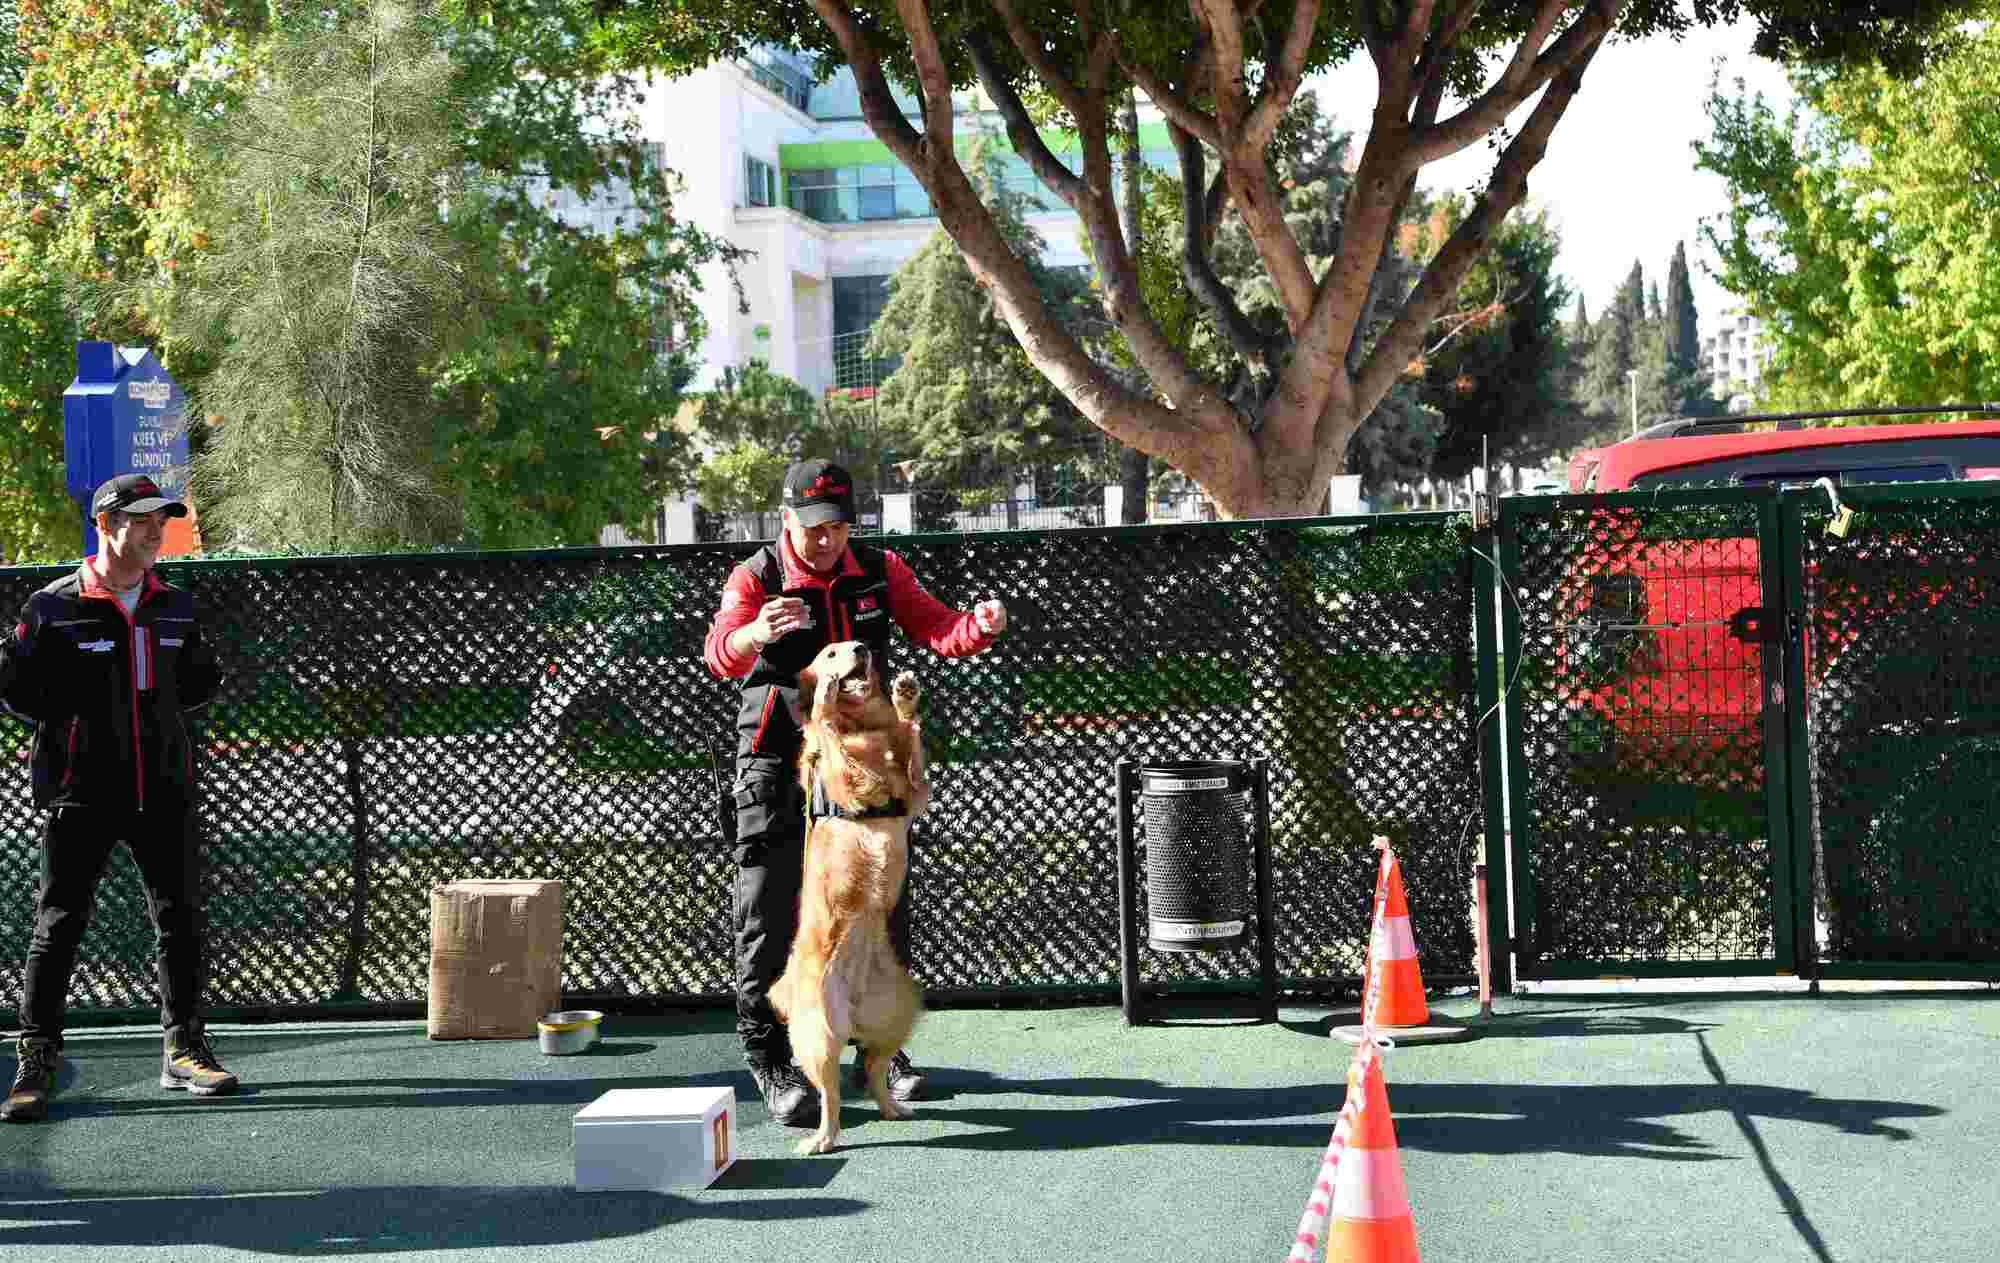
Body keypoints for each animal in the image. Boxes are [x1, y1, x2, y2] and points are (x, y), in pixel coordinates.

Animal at [768, 639, 924, 1151]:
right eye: (830, 653)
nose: (860, 648)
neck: (865, 729)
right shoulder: (844, 781)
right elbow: (828, 735)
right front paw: (825, 700)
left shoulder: (914, 795)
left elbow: (910, 742)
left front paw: (905, 699)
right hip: (818, 1038)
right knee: (830, 1095)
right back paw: (823, 1137)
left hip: (898, 1013)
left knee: (873, 1070)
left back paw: (892, 1106)